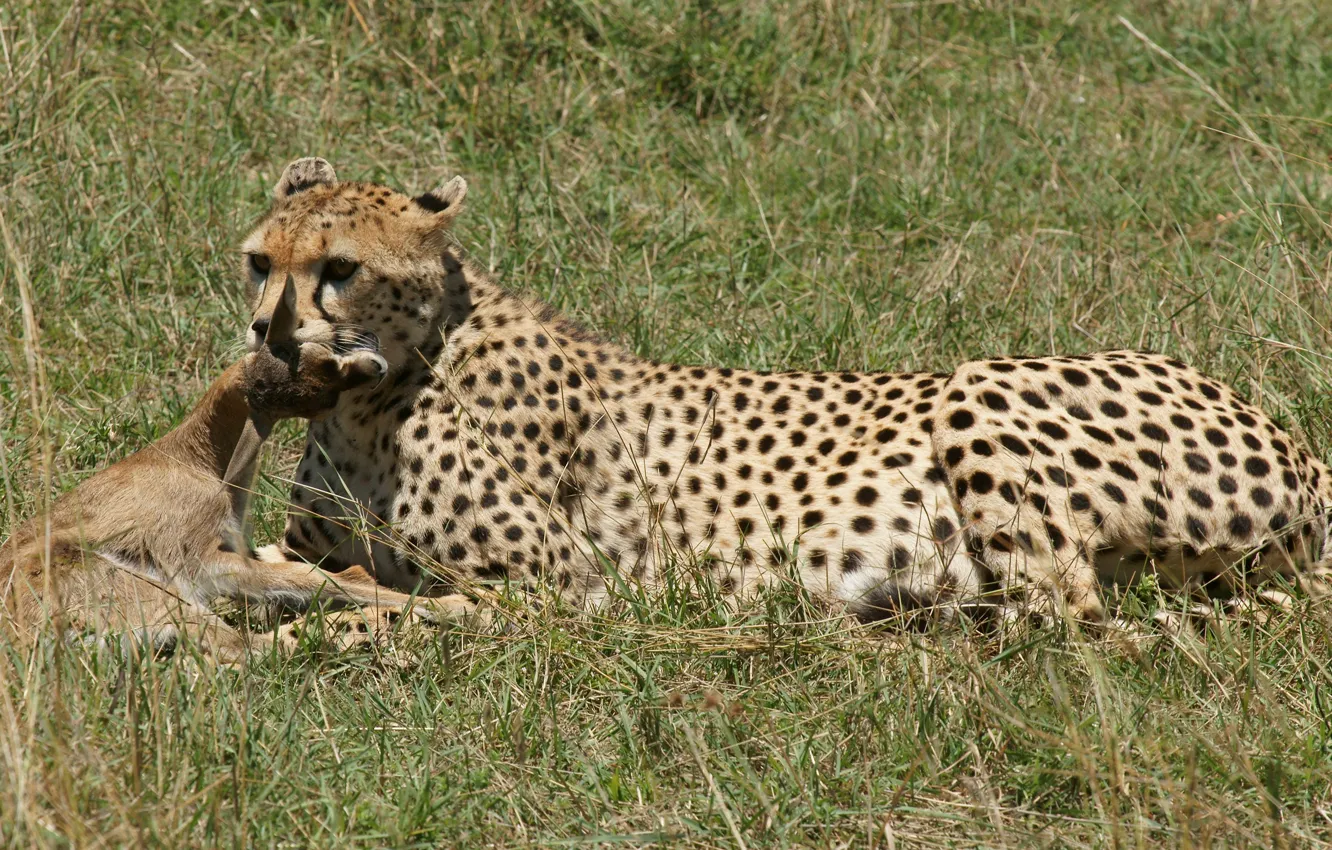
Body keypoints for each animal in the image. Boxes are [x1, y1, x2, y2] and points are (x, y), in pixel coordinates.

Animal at [238, 157, 1332, 627]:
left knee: (1065, 619)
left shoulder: (565, 585)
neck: (374, 390)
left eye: (339, 269)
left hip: (985, 385)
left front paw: (319, 630)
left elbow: (391, 604)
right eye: (259, 261)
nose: (269, 334)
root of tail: (1297, 443)